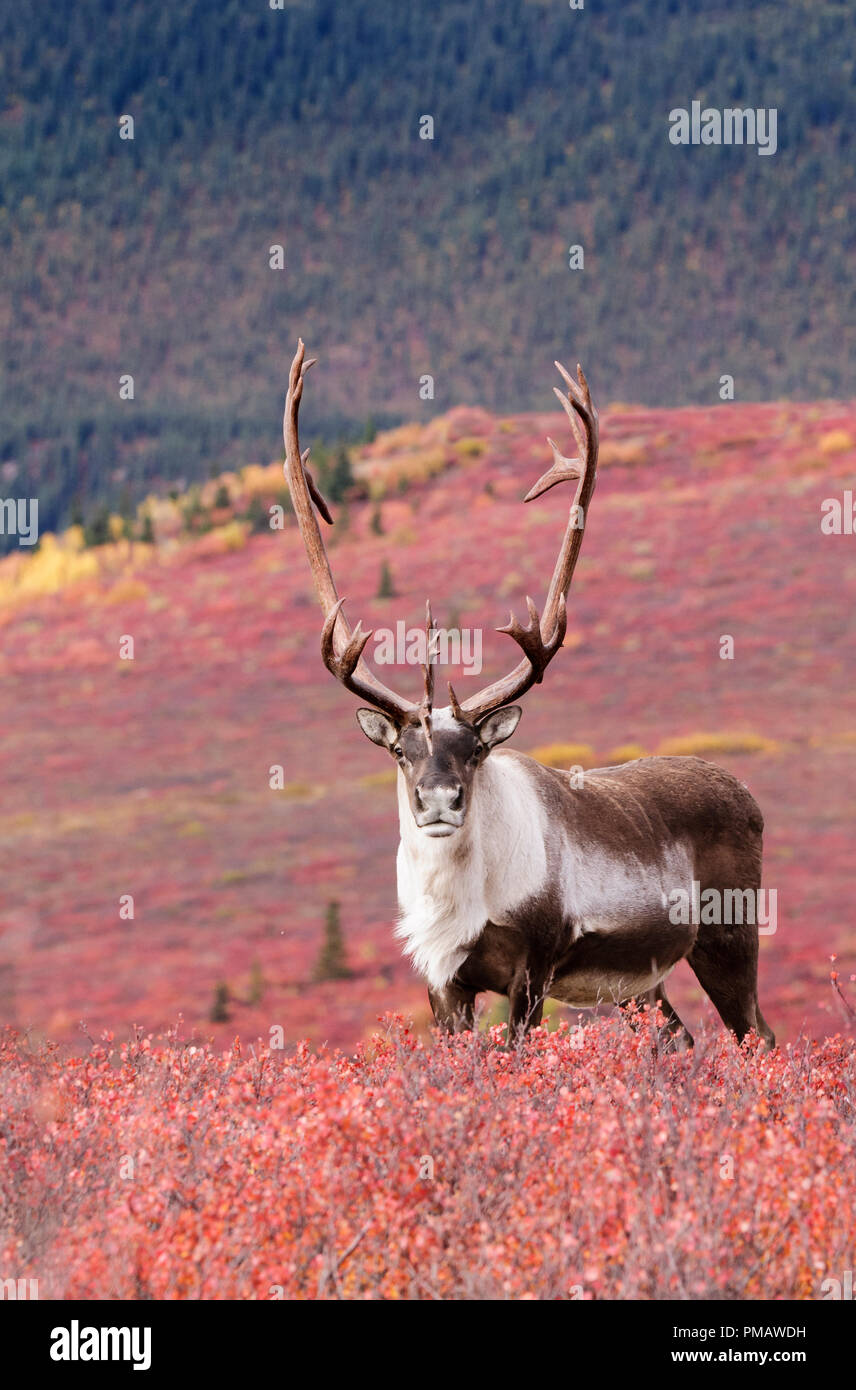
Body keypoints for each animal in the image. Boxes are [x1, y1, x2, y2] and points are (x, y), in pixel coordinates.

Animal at [282, 340, 775, 1051]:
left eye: (475, 751)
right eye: (402, 751)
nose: (439, 800)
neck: (459, 900)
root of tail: (745, 793)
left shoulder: (534, 965)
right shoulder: (441, 979)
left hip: (727, 938)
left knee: (758, 1034)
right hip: (642, 986)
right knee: (681, 1037)